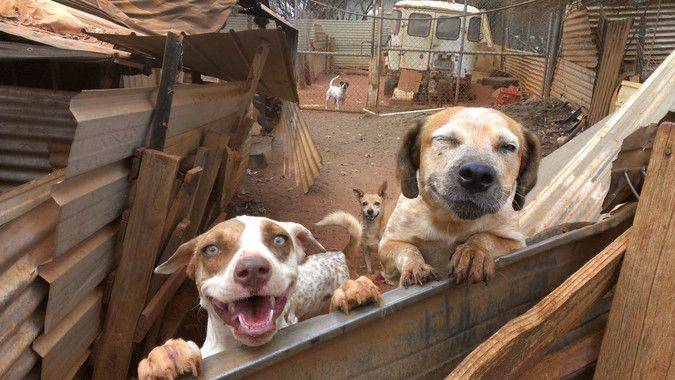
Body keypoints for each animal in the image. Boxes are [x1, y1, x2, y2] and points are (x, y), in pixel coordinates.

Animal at [137, 215, 380, 378]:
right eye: (211, 249)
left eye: (280, 240)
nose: (253, 268)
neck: (239, 349)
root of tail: (342, 254)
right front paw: (168, 354)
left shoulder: (292, 319)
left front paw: (352, 293)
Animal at [380, 105, 544, 286]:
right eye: (444, 139)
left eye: (508, 147)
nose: (477, 175)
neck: (452, 222)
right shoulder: (388, 245)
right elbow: (407, 249)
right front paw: (416, 267)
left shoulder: (516, 243)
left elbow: (484, 237)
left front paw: (473, 252)